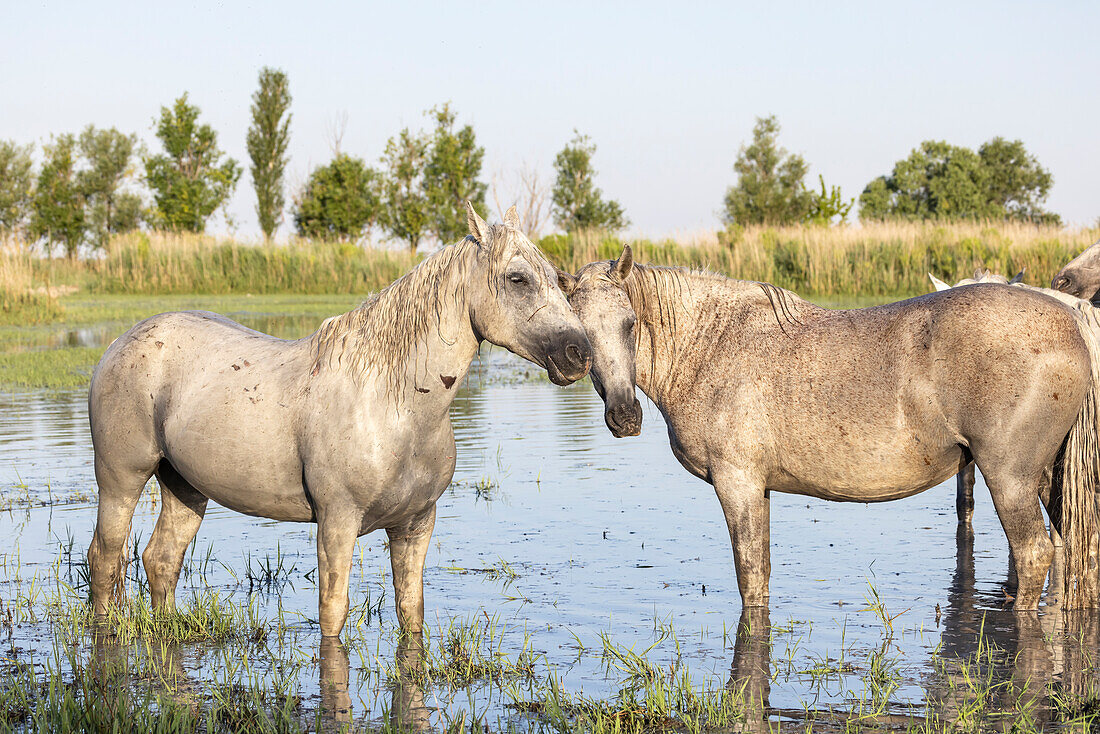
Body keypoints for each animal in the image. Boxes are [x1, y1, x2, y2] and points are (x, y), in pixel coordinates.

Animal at [85, 205, 594, 638]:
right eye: (517, 278)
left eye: (558, 279)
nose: (579, 353)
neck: (395, 408)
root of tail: (120, 342)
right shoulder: (337, 523)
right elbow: (333, 612)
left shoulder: (415, 524)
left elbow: (411, 611)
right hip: (121, 479)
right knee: (105, 558)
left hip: (184, 486)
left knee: (160, 560)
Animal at [563, 249, 1100, 611]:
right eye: (579, 334)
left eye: (631, 323)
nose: (625, 416)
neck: (712, 343)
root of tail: (1069, 320)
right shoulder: (758, 488)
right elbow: (760, 574)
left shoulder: (737, 483)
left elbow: (749, 576)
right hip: (1046, 480)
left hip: (1010, 478)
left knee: (1034, 555)